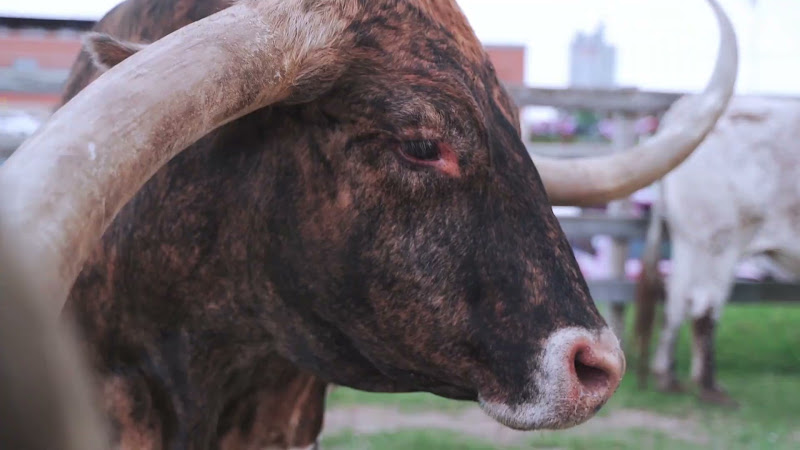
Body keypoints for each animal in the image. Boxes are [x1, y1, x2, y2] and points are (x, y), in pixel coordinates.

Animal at [635, 96, 800, 407]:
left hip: (690, 240)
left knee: (676, 299)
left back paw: (668, 379)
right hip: (720, 241)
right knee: (704, 306)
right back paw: (709, 389)